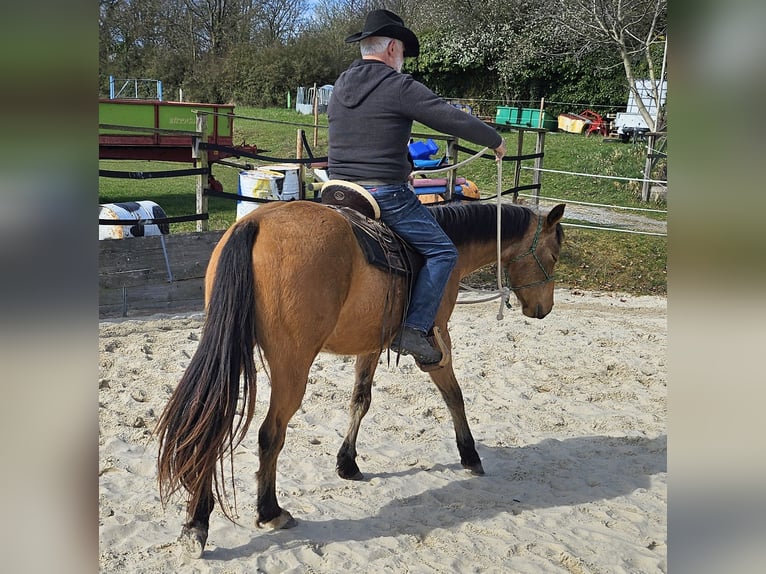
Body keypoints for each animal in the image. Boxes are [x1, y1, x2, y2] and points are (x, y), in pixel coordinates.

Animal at [155, 199, 565, 557]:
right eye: (554, 255)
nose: (544, 310)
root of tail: (255, 223)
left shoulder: (371, 345)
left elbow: (360, 400)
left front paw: (347, 462)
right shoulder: (437, 342)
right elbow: (454, 397)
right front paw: (470, 454)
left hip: (230, 346)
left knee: (210, 422)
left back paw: (197, 523)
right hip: (291, 365)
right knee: (268, 434)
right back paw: (270, 511)